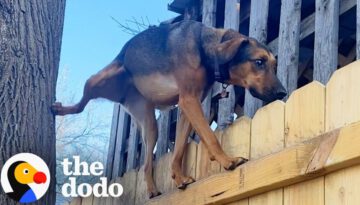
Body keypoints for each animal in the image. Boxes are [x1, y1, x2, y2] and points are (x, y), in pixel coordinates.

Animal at [51, 20, 286, 198]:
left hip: (149, 124)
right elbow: (210, 136)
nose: (283, 93)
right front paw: (227, 161)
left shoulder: (188, 106)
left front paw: (179, 178)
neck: (206, 48)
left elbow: (179, 149)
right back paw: (61, 109)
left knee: (147, 165)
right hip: (95, 80)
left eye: (275, 66)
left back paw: (153, 190)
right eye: (258, 62)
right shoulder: (189, 100)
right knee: (81, 104)